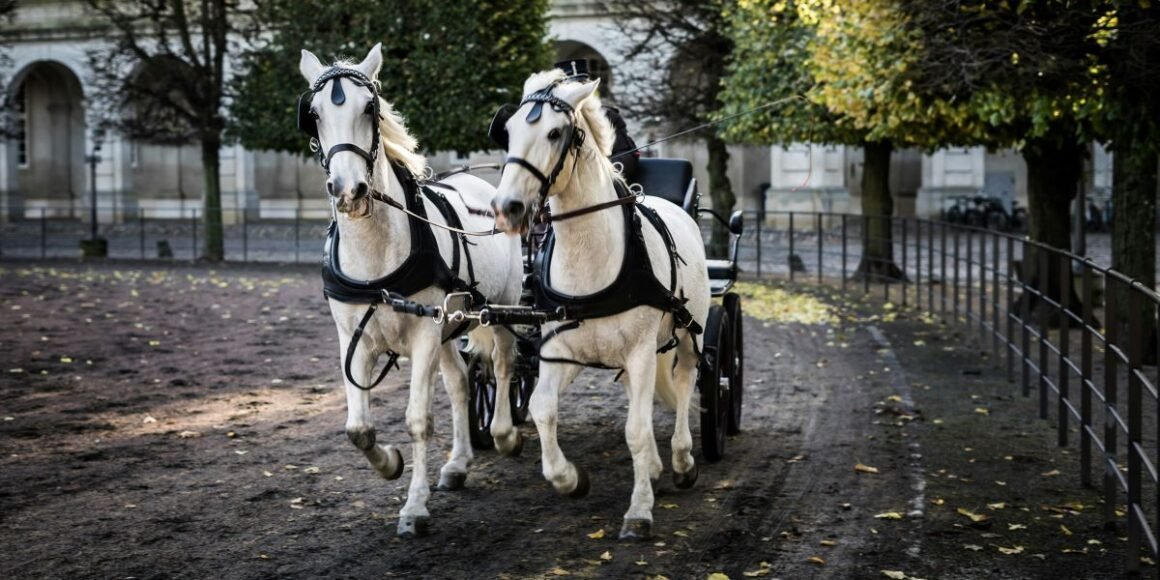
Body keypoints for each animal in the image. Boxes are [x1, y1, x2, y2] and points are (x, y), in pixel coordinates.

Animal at [298, 44, 523, 537]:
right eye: (314, 114)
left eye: (370, 108)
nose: (348, 190)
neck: (376, 256)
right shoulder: (355, 339)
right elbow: (357, 428)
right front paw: (390, 464)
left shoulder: (422, 336)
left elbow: (419, 419)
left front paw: (415, 507)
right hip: (448, 328)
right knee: (460, 384)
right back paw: (458, 464)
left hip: (502, 309)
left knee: (502, 366)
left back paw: (504, 434)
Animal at [489, 70, 711, 539]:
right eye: (509, 131)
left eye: (555, 133)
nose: (507, 208)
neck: (589, 255)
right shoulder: (559, 350)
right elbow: (542, 409)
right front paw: (569, 478)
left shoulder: (643, 350)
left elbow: (637, 429)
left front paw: (639, 511)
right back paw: (657, 466)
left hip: (689, 330)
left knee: (685, 382)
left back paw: (682, 459)